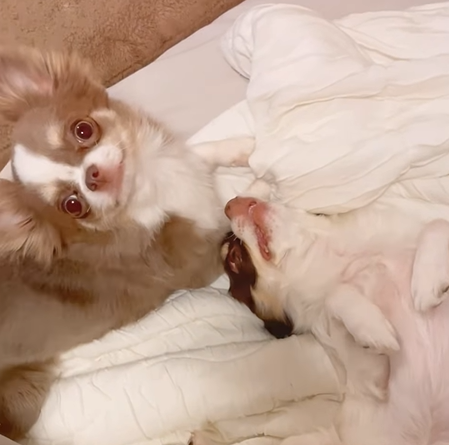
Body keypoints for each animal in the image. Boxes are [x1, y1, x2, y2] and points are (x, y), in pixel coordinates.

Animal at [0, 45, 254, 439]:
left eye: (83, 129)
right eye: (72, 205)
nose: (92, 175)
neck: (149, 185)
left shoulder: (186, 168)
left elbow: (200, 153)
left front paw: (240, 147)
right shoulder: (200, 262)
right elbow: (228, 219)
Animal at [192, 190, 449, 445]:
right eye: (234, 258)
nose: (231, 203)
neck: (339, 261)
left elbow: (436, 224)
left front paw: (426, 285)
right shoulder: (367, 382)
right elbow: (335, 298)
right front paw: (373, 330)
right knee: (267, 423)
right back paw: (208, 434)